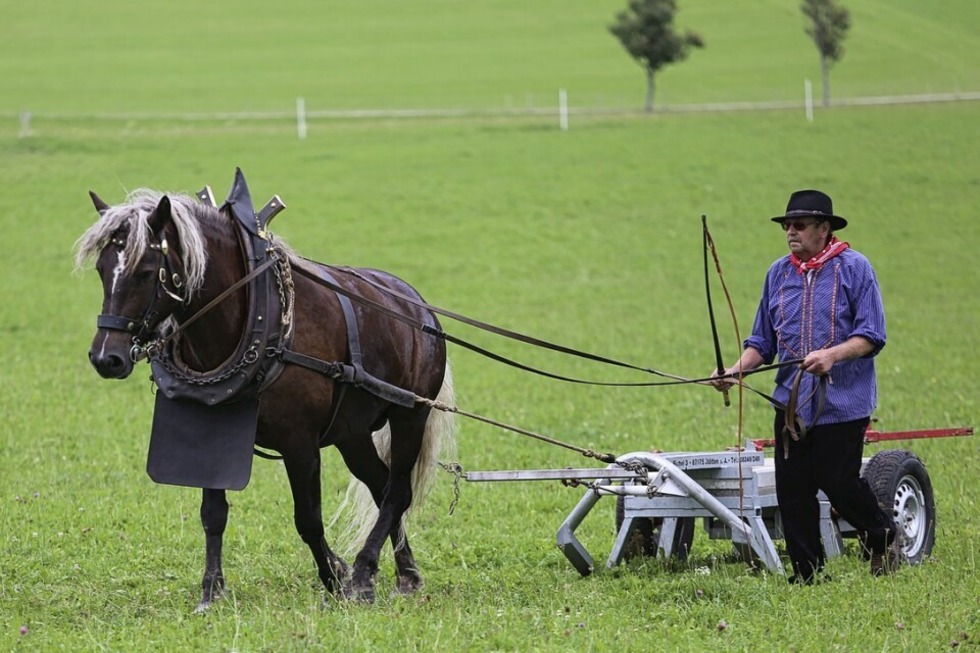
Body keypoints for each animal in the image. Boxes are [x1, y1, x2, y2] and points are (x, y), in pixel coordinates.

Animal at [74, 183, 458, 608]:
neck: (259, 320)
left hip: (410, 416)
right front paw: (212, 589)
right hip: (352, 434)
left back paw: (364, 572)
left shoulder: (300, 443)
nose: (105, 357)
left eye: (144, 272)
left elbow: (308, 519)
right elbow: (213, 513)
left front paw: (335, 577)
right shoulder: (214, 428)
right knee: (381, 485)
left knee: (397, 492)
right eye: (101, 269)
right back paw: (406, 573)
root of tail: (417, 305)